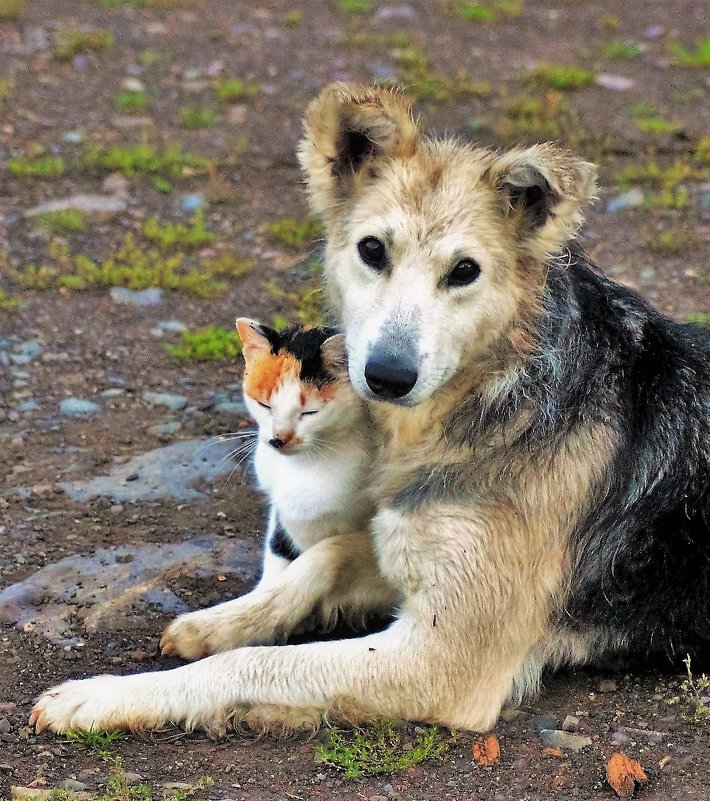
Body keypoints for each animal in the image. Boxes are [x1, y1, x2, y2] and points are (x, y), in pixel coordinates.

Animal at [159, 320, 400, 664]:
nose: (278, 439)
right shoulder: (280, 516)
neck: (306, 466)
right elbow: (277, 559)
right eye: (264, 405)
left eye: (310, 412)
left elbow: (324, 557)